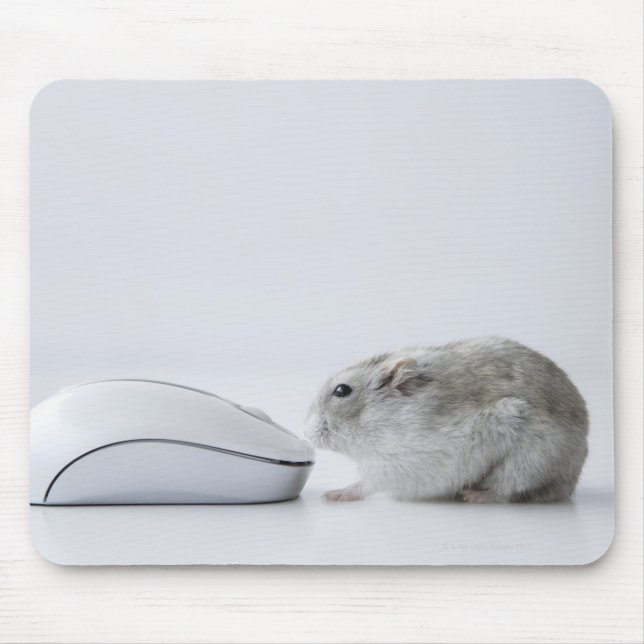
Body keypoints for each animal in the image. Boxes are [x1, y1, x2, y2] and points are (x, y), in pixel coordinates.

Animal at [305, 337, 588, 503]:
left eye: (342, 390)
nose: (307, 433)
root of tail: (569, 483)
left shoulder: (400, 466)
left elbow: (367, 484)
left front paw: (333, 494)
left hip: (528, 461)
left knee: (509, 489)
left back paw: (473, 496)